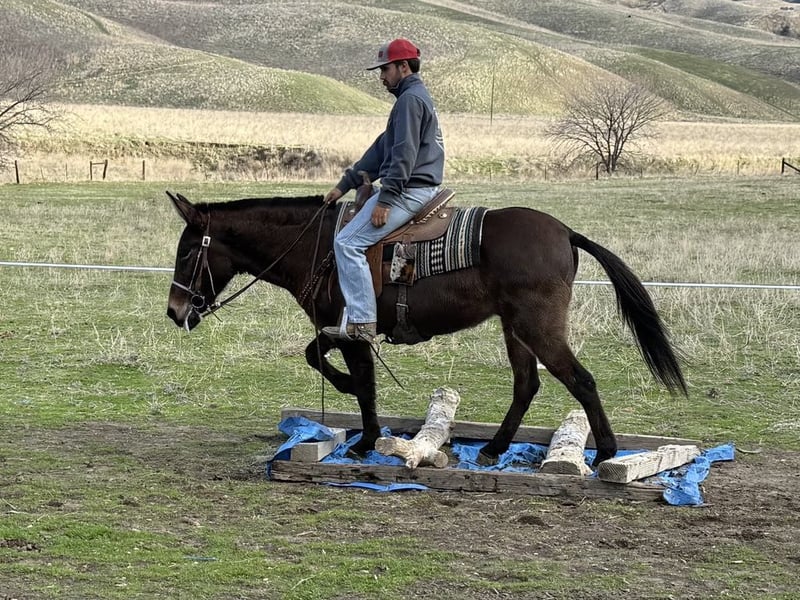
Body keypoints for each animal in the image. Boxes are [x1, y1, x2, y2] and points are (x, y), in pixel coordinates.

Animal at [165, 191, 687, 467]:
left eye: (188, 251)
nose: (174, 311)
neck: (320, 247)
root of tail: (565, 232)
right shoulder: (336, 328)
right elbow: (317, 357)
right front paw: (352, 406)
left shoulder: (352, 331)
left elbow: (364, 385)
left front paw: (366, 440)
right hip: (514, 328)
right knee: (526, 384)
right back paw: (495, 448)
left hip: (539, 327)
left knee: (581, 380)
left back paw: (606, 454)